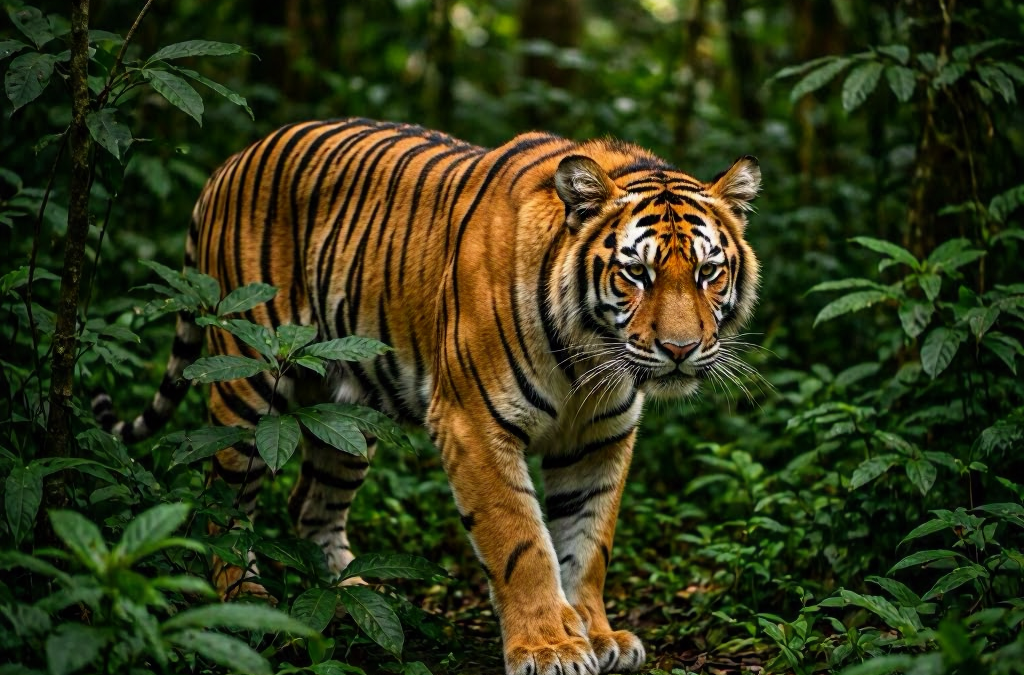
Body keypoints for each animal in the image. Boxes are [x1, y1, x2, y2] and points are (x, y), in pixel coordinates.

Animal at [94, 118, 761, 675]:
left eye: (707, 272)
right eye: (636, 274)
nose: (680, 349)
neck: (590, 357)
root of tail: (231, 161)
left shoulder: (601, 439)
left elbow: (588, 543)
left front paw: (598, 636)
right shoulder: (475, 423)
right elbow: (522, 542)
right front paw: (549, 647)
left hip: (347, 413)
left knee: (311, 506)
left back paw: (353, 599)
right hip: (248, 383)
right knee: (221, 503)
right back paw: (246, 604)